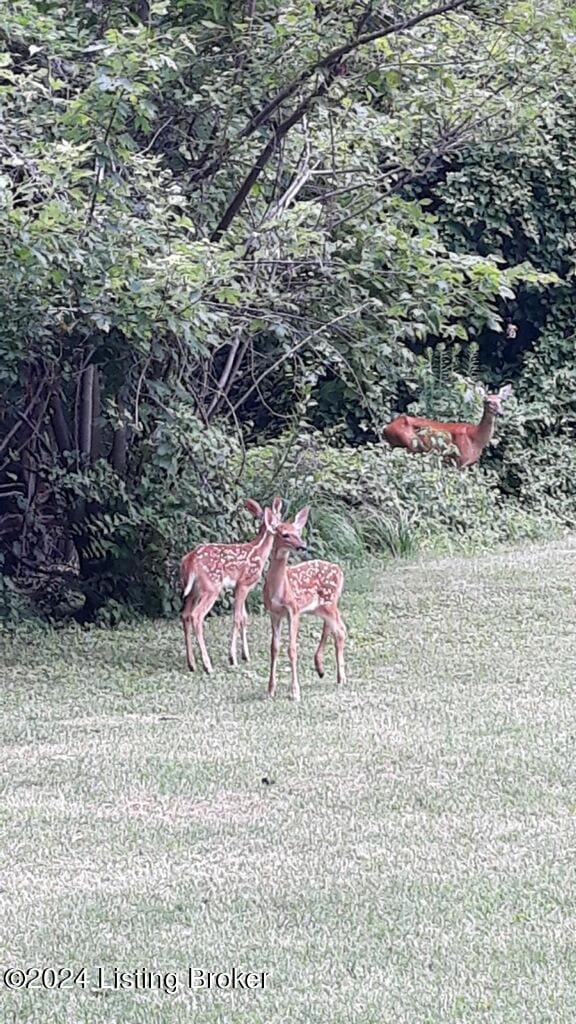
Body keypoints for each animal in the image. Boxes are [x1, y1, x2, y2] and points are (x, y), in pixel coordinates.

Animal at [177, 499, 280, 675]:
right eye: (280, 519)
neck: (259, 551)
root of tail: (189, 561)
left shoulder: (238, 587)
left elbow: (244, 617)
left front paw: (245, 655)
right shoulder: (244, 583)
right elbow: (237, 618)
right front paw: (233, 658)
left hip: (193, 590)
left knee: (185, 615)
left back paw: (192, 664)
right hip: (211, 587)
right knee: (196, 616)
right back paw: (207, 666)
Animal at [261, 505, 344, 704]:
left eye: (297, 532)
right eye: (284, 534)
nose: (302, 546)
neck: (279, 589)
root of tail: (339, 570)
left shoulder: (294, 610)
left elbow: (292, 649)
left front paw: (295, 692)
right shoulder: (274, 613)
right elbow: (274, 648)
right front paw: (270, 691)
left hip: (329, 602)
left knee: (340, 631)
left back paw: (341, 678)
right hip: (321, 608)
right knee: (335, 628)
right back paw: (325, 671)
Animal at [381, 385, 510, 468]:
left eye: (501, 401)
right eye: (488, 401)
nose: (501, 413)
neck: (476, 438)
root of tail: (386, 428)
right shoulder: (459, 459)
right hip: (408, 443)